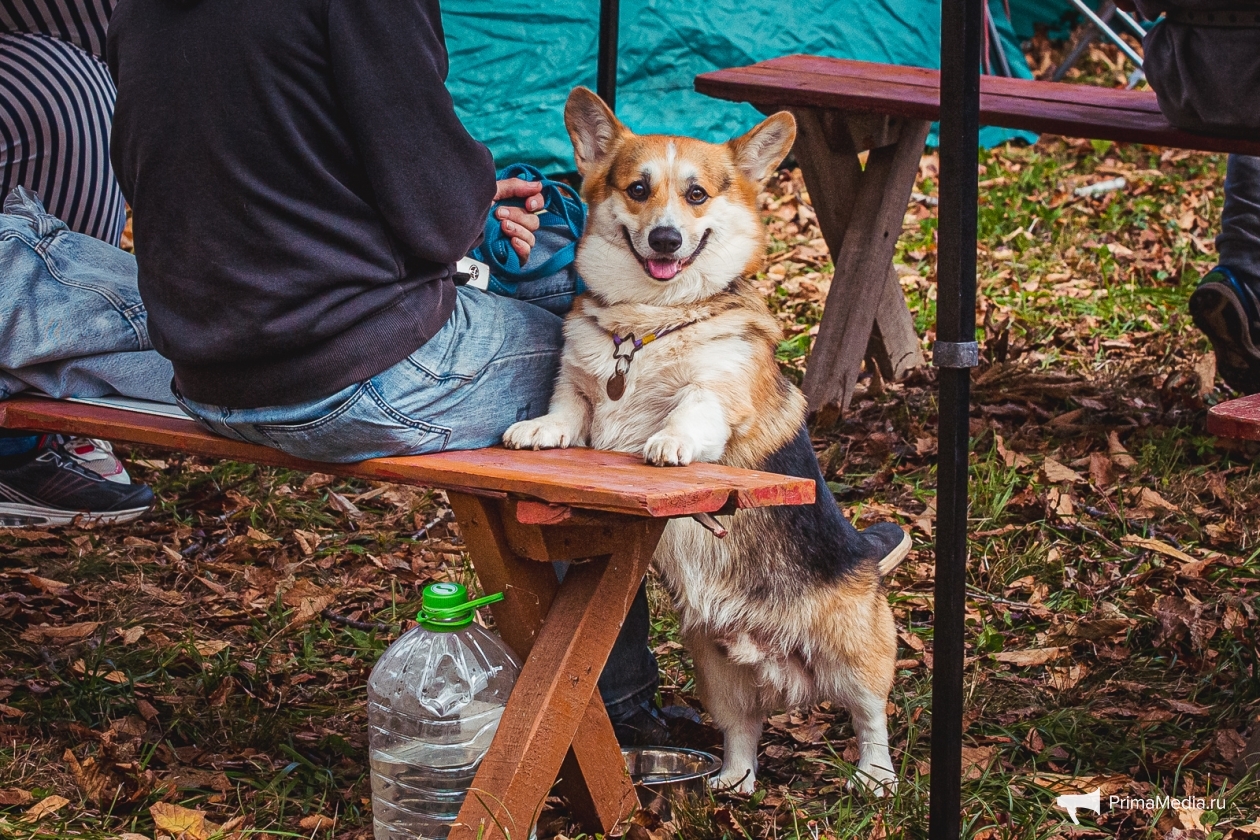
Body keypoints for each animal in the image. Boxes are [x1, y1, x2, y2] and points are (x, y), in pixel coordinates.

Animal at [498, 86, 907, 795]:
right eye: (637, 188)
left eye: (696, 194)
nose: (666, 237)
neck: (648, 321)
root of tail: (784, 670)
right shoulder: (580, 383)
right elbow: (567, 407)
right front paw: (540, 430)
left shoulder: (719, 389)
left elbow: (691, 409)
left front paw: (669, 442)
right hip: (717, 670)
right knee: (743, 728)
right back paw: (734, 782)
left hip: (855, 651)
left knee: (869, 714)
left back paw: (874, 778)